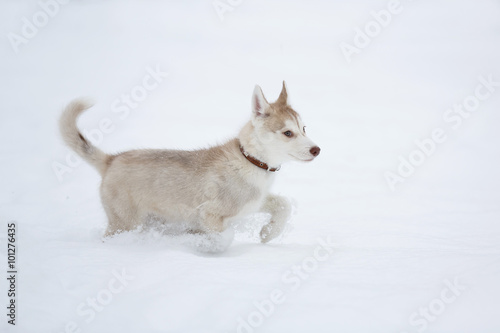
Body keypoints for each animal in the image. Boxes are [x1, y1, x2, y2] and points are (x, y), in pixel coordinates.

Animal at [60, 82, 320, 248]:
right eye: (287, 133)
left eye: (304, 128)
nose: (317, 150)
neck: (250, 160)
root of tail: (111, 160)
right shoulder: (210, 214)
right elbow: (222, 239)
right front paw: (196, 242)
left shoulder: (254, 202)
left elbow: (284, 204)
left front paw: (268, 233)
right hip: (125, 222)